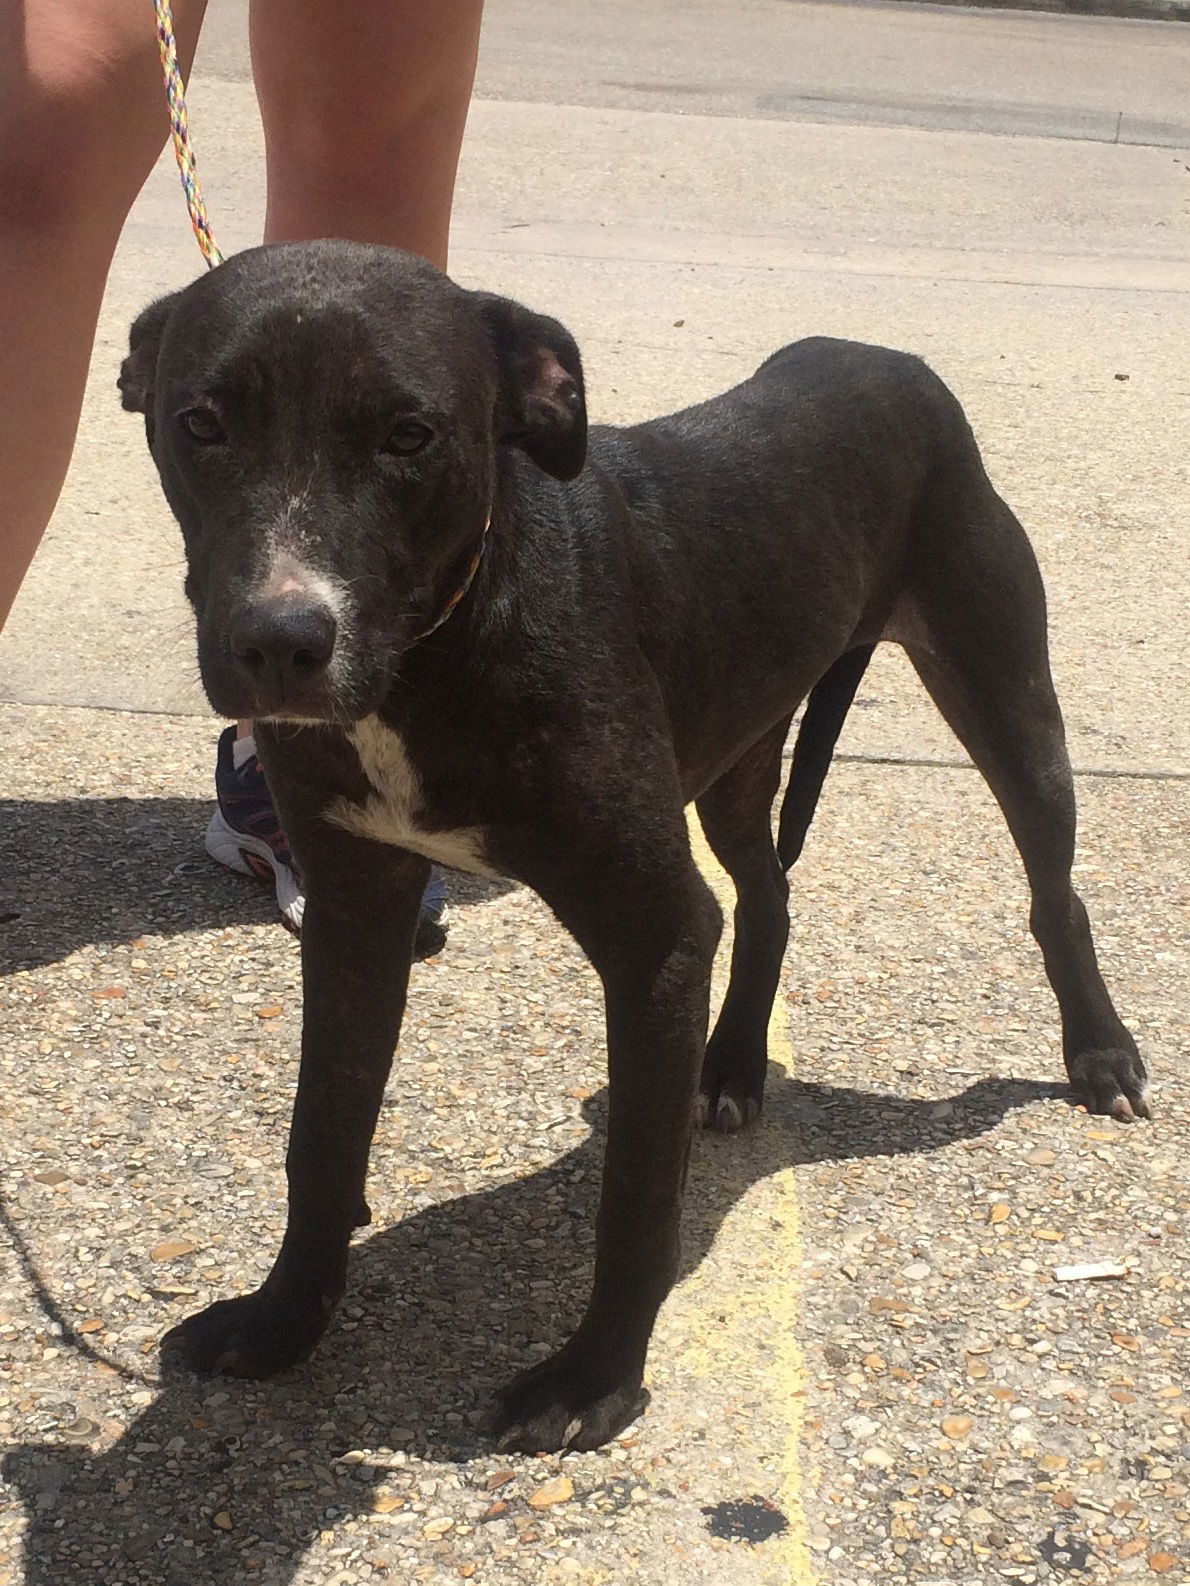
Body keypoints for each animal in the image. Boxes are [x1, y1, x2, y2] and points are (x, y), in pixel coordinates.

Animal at [121, 244, 1155, 1452]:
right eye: (200, 422)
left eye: (410, 434)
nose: (281, 643)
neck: (444, 639)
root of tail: (891, 360)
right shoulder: (353, 913)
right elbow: (321, 1135)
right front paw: (283, 1319)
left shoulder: (651, 936)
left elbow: (634, 1196)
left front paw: (593, 1379)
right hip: (740, 754)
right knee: (767, 896)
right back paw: (732, 1063)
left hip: (1003, 691)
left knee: (1051, 891)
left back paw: (1099, 1053)